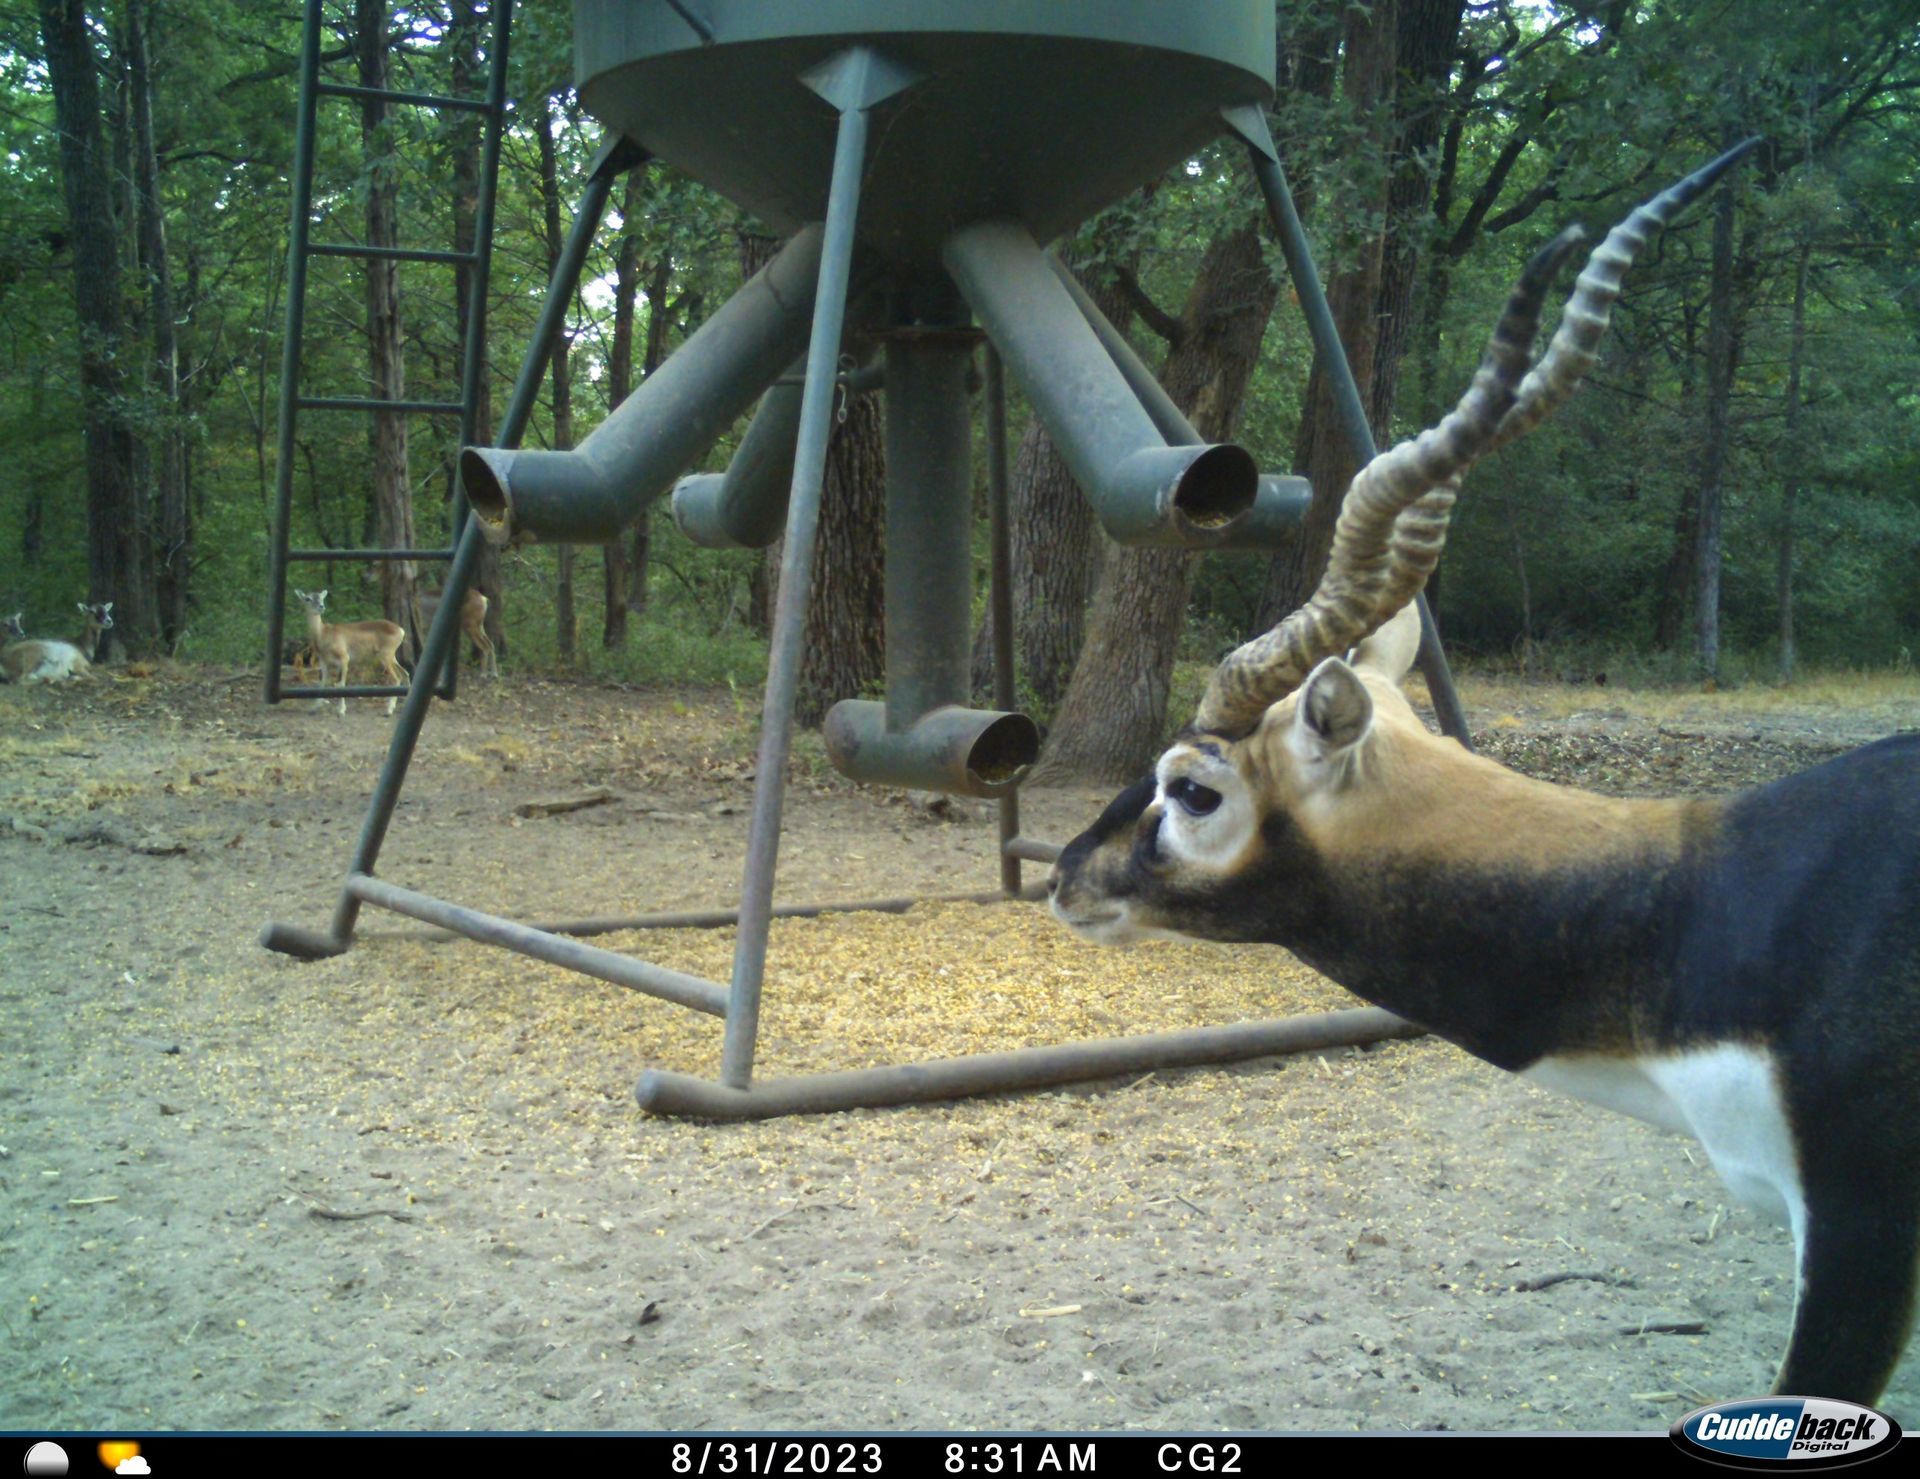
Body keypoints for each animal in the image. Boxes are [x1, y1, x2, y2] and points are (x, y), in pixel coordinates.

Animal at [293, 588, 409, 717]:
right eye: (307, 598)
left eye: (322, 598)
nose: (321, 606)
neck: (323, 635)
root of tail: (401, 630)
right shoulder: (324, 661)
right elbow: (322, 684)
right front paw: (314, 708)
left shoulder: (344, 657)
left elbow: (341, 684)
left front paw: (341, 710)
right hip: (392, 656)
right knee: (405, 673)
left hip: (385, 655)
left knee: (396, 678)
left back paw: (388, 711)